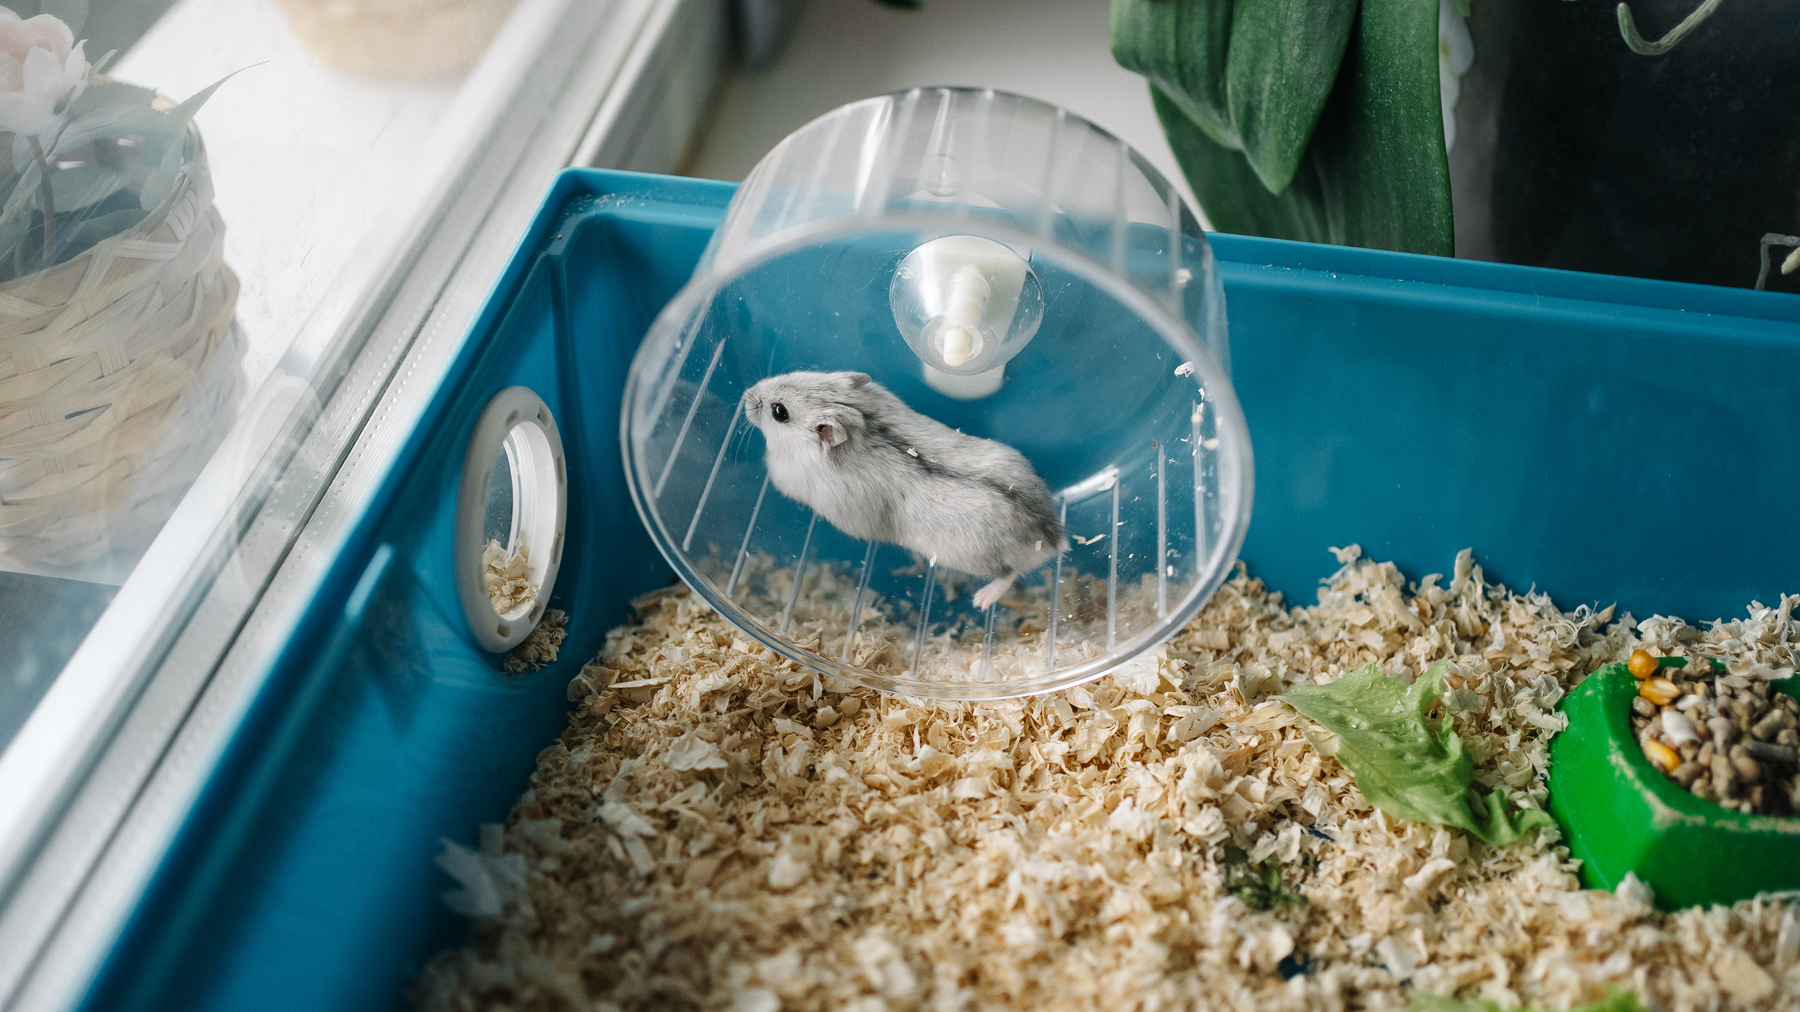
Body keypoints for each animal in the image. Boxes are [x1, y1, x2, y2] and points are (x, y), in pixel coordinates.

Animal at [742, 370, 1066, 610]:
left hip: (974, 559)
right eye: (798, 372)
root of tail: (1050, 535)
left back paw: (981, 600)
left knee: (1009, 574)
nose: (745, 394)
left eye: (779, 412)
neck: (861, 422)